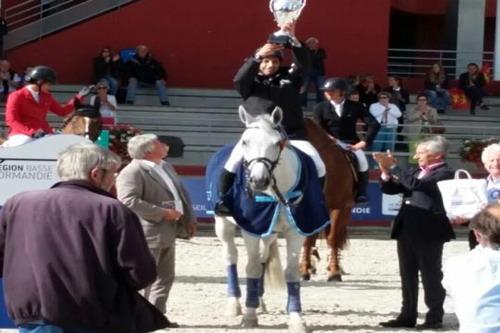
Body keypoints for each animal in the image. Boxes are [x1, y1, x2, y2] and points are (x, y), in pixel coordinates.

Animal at [298, 116, 358, 280]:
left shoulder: (339, 206)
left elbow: (333, 238)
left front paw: (335, 271)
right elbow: (307, 239)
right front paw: (304, 269)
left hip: (346, 210)